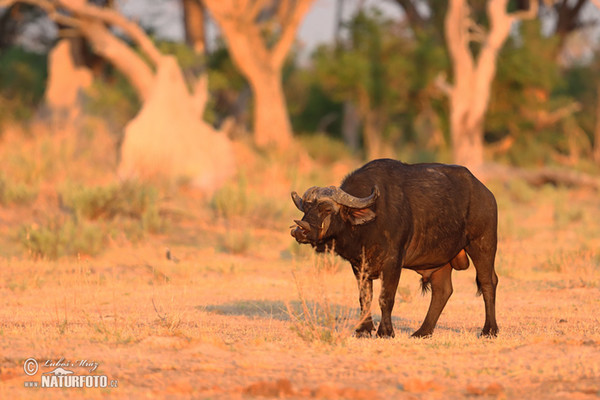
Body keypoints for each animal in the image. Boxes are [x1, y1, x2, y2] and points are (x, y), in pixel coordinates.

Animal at [290, 159, 496, 338]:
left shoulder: (393, 263)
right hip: (440, 259)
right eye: (306, 208)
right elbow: (365, 297)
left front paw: (385, 332)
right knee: (442, 291)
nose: (300, 232)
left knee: (488, 282)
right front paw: (363, 330)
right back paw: (423, 332)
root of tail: (486, 194)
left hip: (483, 244)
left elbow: (386, 297)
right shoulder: (359, 266)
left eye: (327, 209)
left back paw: (489, 330)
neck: (368, 226)